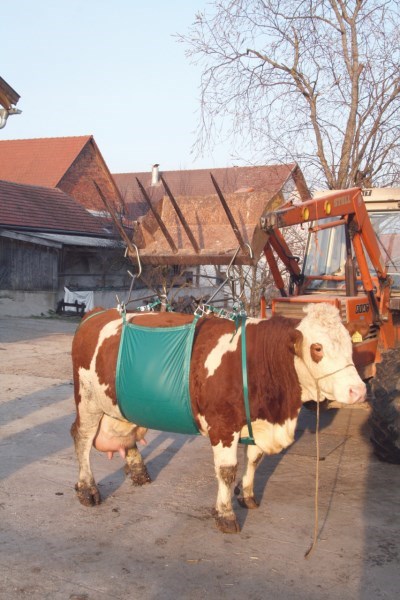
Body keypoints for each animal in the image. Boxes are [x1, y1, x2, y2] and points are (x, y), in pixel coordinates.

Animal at [71, 302, 366, 532]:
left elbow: (254, 460)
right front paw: (225, 514)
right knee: (81, 438)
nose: (358, 390)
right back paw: (88, 489)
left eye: (350, 346)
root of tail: (98, 313)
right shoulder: (223, 425)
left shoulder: (258, 422)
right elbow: (227, 471)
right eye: (317, 348)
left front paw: (247, 495)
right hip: (88, 401)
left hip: (119, 404)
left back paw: (138, 470)